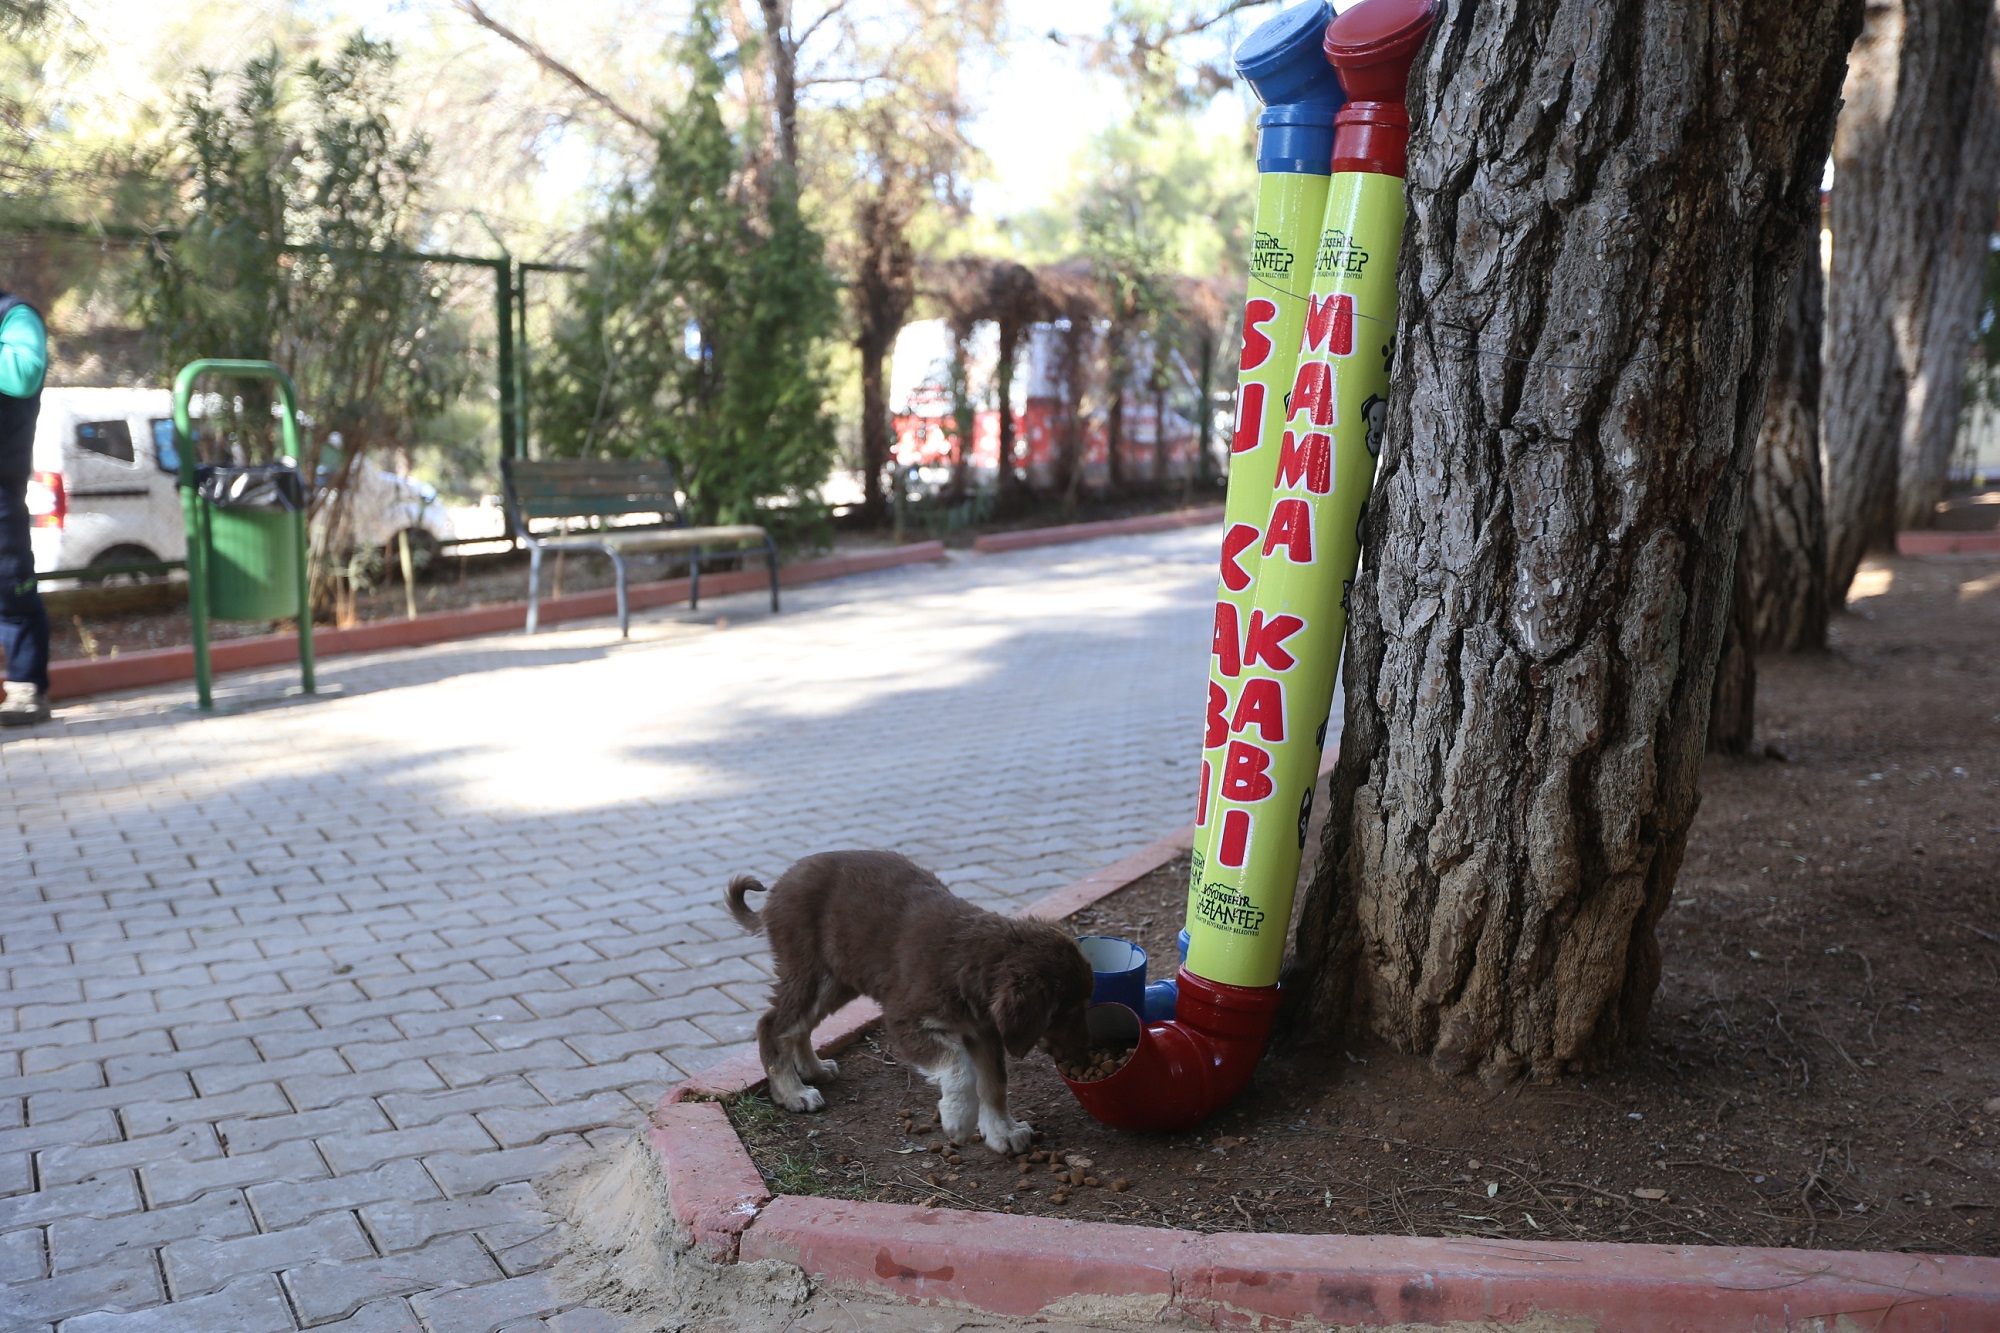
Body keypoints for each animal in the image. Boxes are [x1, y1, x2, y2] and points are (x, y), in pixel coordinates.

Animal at [724, 852, 1088, 1152]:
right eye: (1063, 1014)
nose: (1081, 1060)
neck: (970, 959)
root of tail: (778, 888)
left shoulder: (983, 1030)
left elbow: (994, 1081)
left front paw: (1003, 1132)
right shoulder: (904, 1021)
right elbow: (959, 1068)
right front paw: (958, 1121)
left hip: (839, 978)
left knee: (799, 1026)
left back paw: (814, 1069)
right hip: (810, 970)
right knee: (772, 1023)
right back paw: (793, 1092)